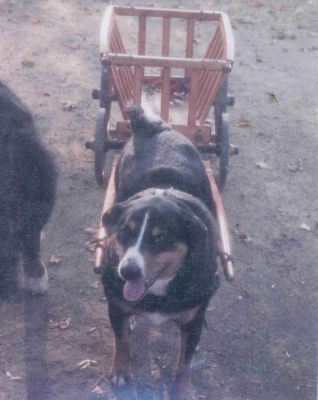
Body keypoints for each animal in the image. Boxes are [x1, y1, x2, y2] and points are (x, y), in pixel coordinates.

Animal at [102, 104, 221, 398]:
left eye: (161, 238)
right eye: (126, 231)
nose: (127, 271)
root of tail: (151, 128)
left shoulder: (192, 323)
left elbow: (185, 363)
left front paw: (183, 391)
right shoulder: (115, 305)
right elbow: (121, 339)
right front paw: (121, 371)